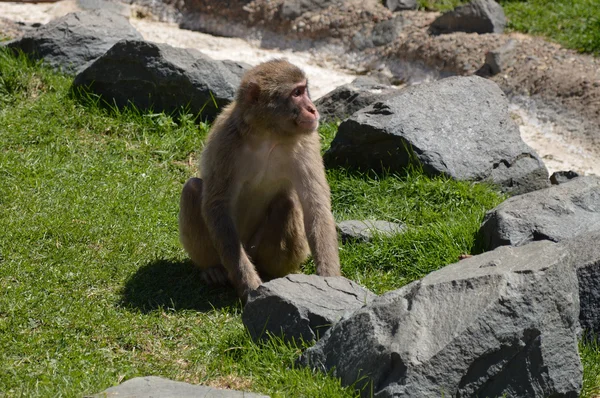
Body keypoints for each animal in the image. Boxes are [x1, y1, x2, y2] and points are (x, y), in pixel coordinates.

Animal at [177, 58, 342, 302]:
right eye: (297, 93)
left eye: (304, 90)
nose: (313, 109)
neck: (268, 134)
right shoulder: (225, 141)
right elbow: (217, 206)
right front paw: (249, 285)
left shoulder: (308, 141)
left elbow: (316, 206)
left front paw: (330, 282)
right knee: (192, 189)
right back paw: (213, 269)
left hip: (258, 249)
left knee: (287, 203)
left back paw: (273, 273)